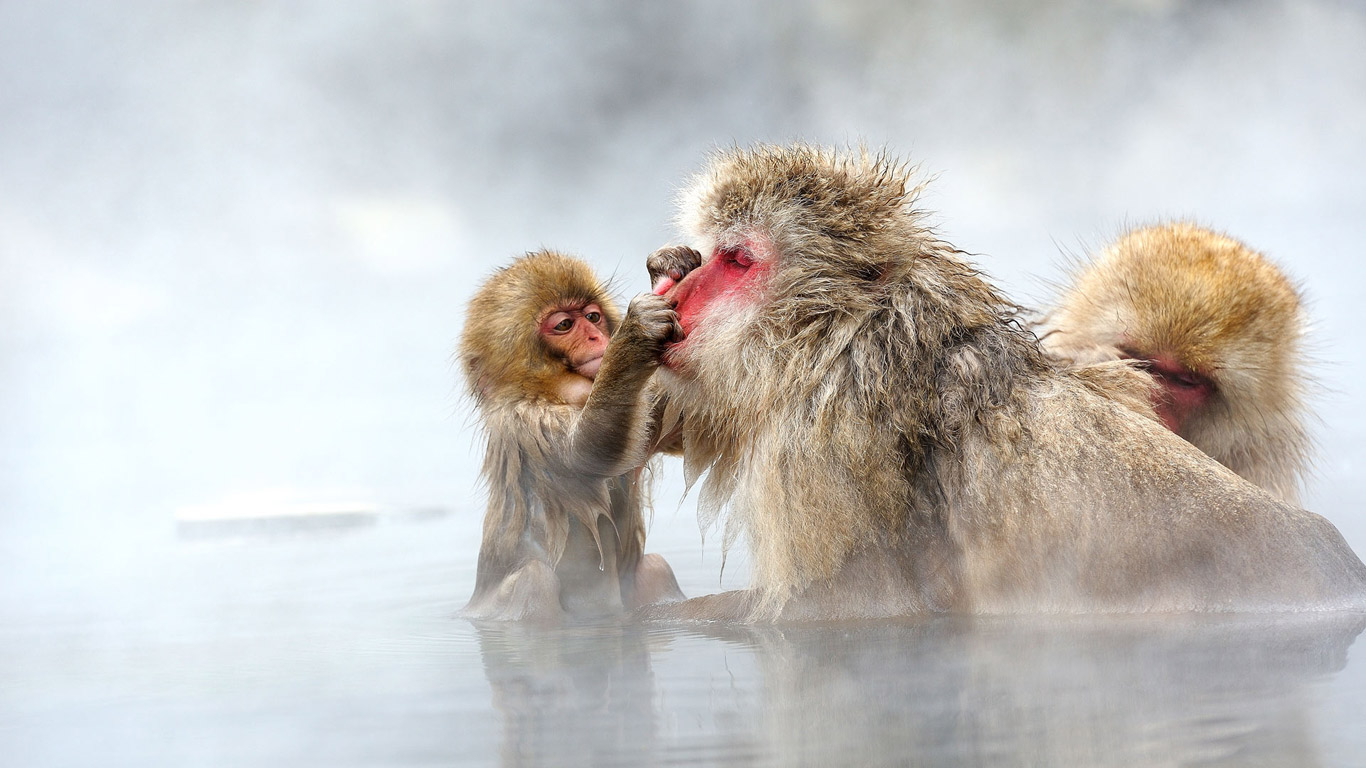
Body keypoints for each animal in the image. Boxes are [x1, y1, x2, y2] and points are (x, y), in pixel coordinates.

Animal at [458, 249, 685, 622]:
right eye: (564, 325)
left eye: (593, 317)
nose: (597, 337)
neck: (554, 393)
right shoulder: (528, 420)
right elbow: (587, 451)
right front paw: (636, 333)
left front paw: (667, 265)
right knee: (535, 579)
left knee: (655, 568)